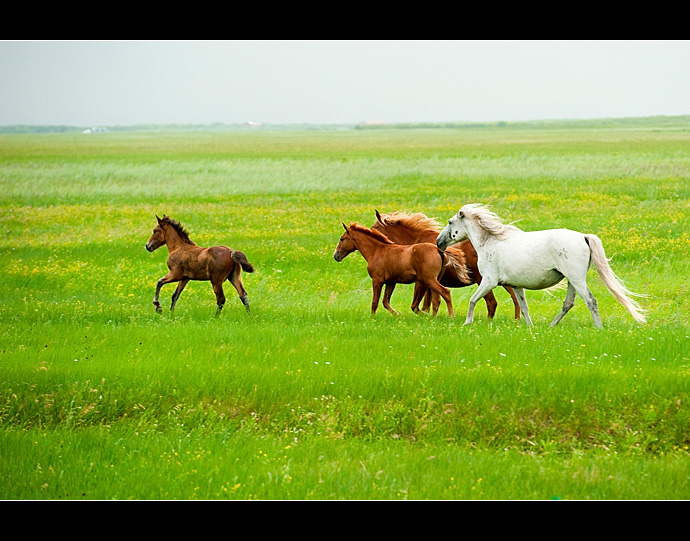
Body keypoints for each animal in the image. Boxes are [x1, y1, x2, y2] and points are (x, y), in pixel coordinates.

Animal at [370, 208, 516, 316]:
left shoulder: (422, 281)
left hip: (483, 280)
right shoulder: (429, 283)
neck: (415, 243)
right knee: (515, 300)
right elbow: (428, 305)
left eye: (374, 228)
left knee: (492, 303)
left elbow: (417, 306)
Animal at [436, 204, 644, 326]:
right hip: (572, 280)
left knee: (590, 301)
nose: (439, 242)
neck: (491, 241)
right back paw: (552, 326)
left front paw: (467, 323)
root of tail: (583, 237)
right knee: (568, 303)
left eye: (450, 222)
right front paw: (530, 327)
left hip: (577, 279)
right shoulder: (516, 285)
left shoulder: (489, 281)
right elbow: (523, 306)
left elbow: (472, 300)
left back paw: (598, 327)